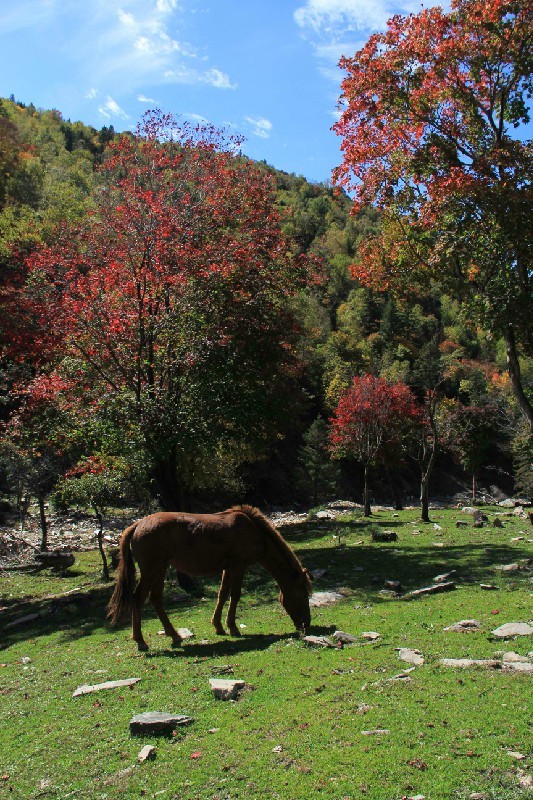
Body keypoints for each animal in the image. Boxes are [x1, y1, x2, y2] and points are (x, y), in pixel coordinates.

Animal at [106, 506, 312, 648]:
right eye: (303, 595)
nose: (306, 624)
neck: (254, 532)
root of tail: (137, 525)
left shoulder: (228, 568)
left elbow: (223, 594)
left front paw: (219, 626)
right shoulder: (239, 566)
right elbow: (235, 595)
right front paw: (233, 627)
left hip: (160, 568)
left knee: (155, 598)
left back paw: (174, 635)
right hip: (152, 569)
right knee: (139, 598)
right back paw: (141, 641)